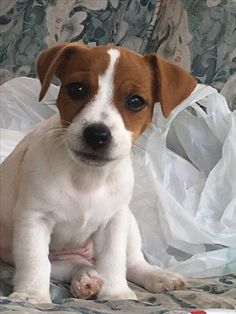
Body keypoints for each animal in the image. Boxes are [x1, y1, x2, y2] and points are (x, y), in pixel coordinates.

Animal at [0, 43, 195, 302]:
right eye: (77, 89)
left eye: (135, 101)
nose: (97, 134)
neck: (87, 178)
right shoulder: (34, 219)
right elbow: (36, 262)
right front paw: (32, 295)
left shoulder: (114, 222)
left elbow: (113, 260)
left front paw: (116, 294)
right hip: (57, 257)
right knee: (72, 265)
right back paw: (86, 278)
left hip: (129, 222)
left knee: (132, 262)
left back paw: (157, 276)